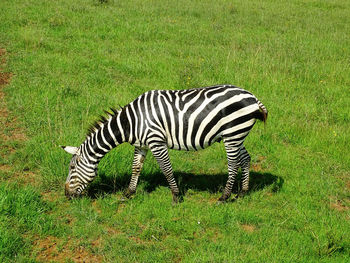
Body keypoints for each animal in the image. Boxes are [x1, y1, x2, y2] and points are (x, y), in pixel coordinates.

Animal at [60, 85, 268, 203]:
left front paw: (176, 196)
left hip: (233, 134)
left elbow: (166, 169)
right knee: (245, 158)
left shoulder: (156, 142)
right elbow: (136, 167)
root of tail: (252, 96)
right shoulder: (141, 144)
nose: (66, 195)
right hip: (235, 135)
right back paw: (242, 192)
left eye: (72, 168)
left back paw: (224, 197)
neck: (131, 122)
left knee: (233, 164)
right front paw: (128, 193)